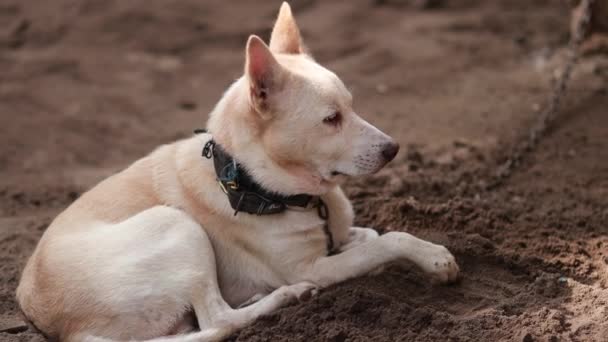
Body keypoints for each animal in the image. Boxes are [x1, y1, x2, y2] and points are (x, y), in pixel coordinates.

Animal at [16, 3, 458, 342]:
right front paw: (434, 258)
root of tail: (67, 329)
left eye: (352, 106)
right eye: (331, 119)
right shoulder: (313, 267)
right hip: (176, 226)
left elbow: (370, 236)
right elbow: (391, 240)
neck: (257, 183)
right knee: (217, 321)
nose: (393, 149)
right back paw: (284, 297)